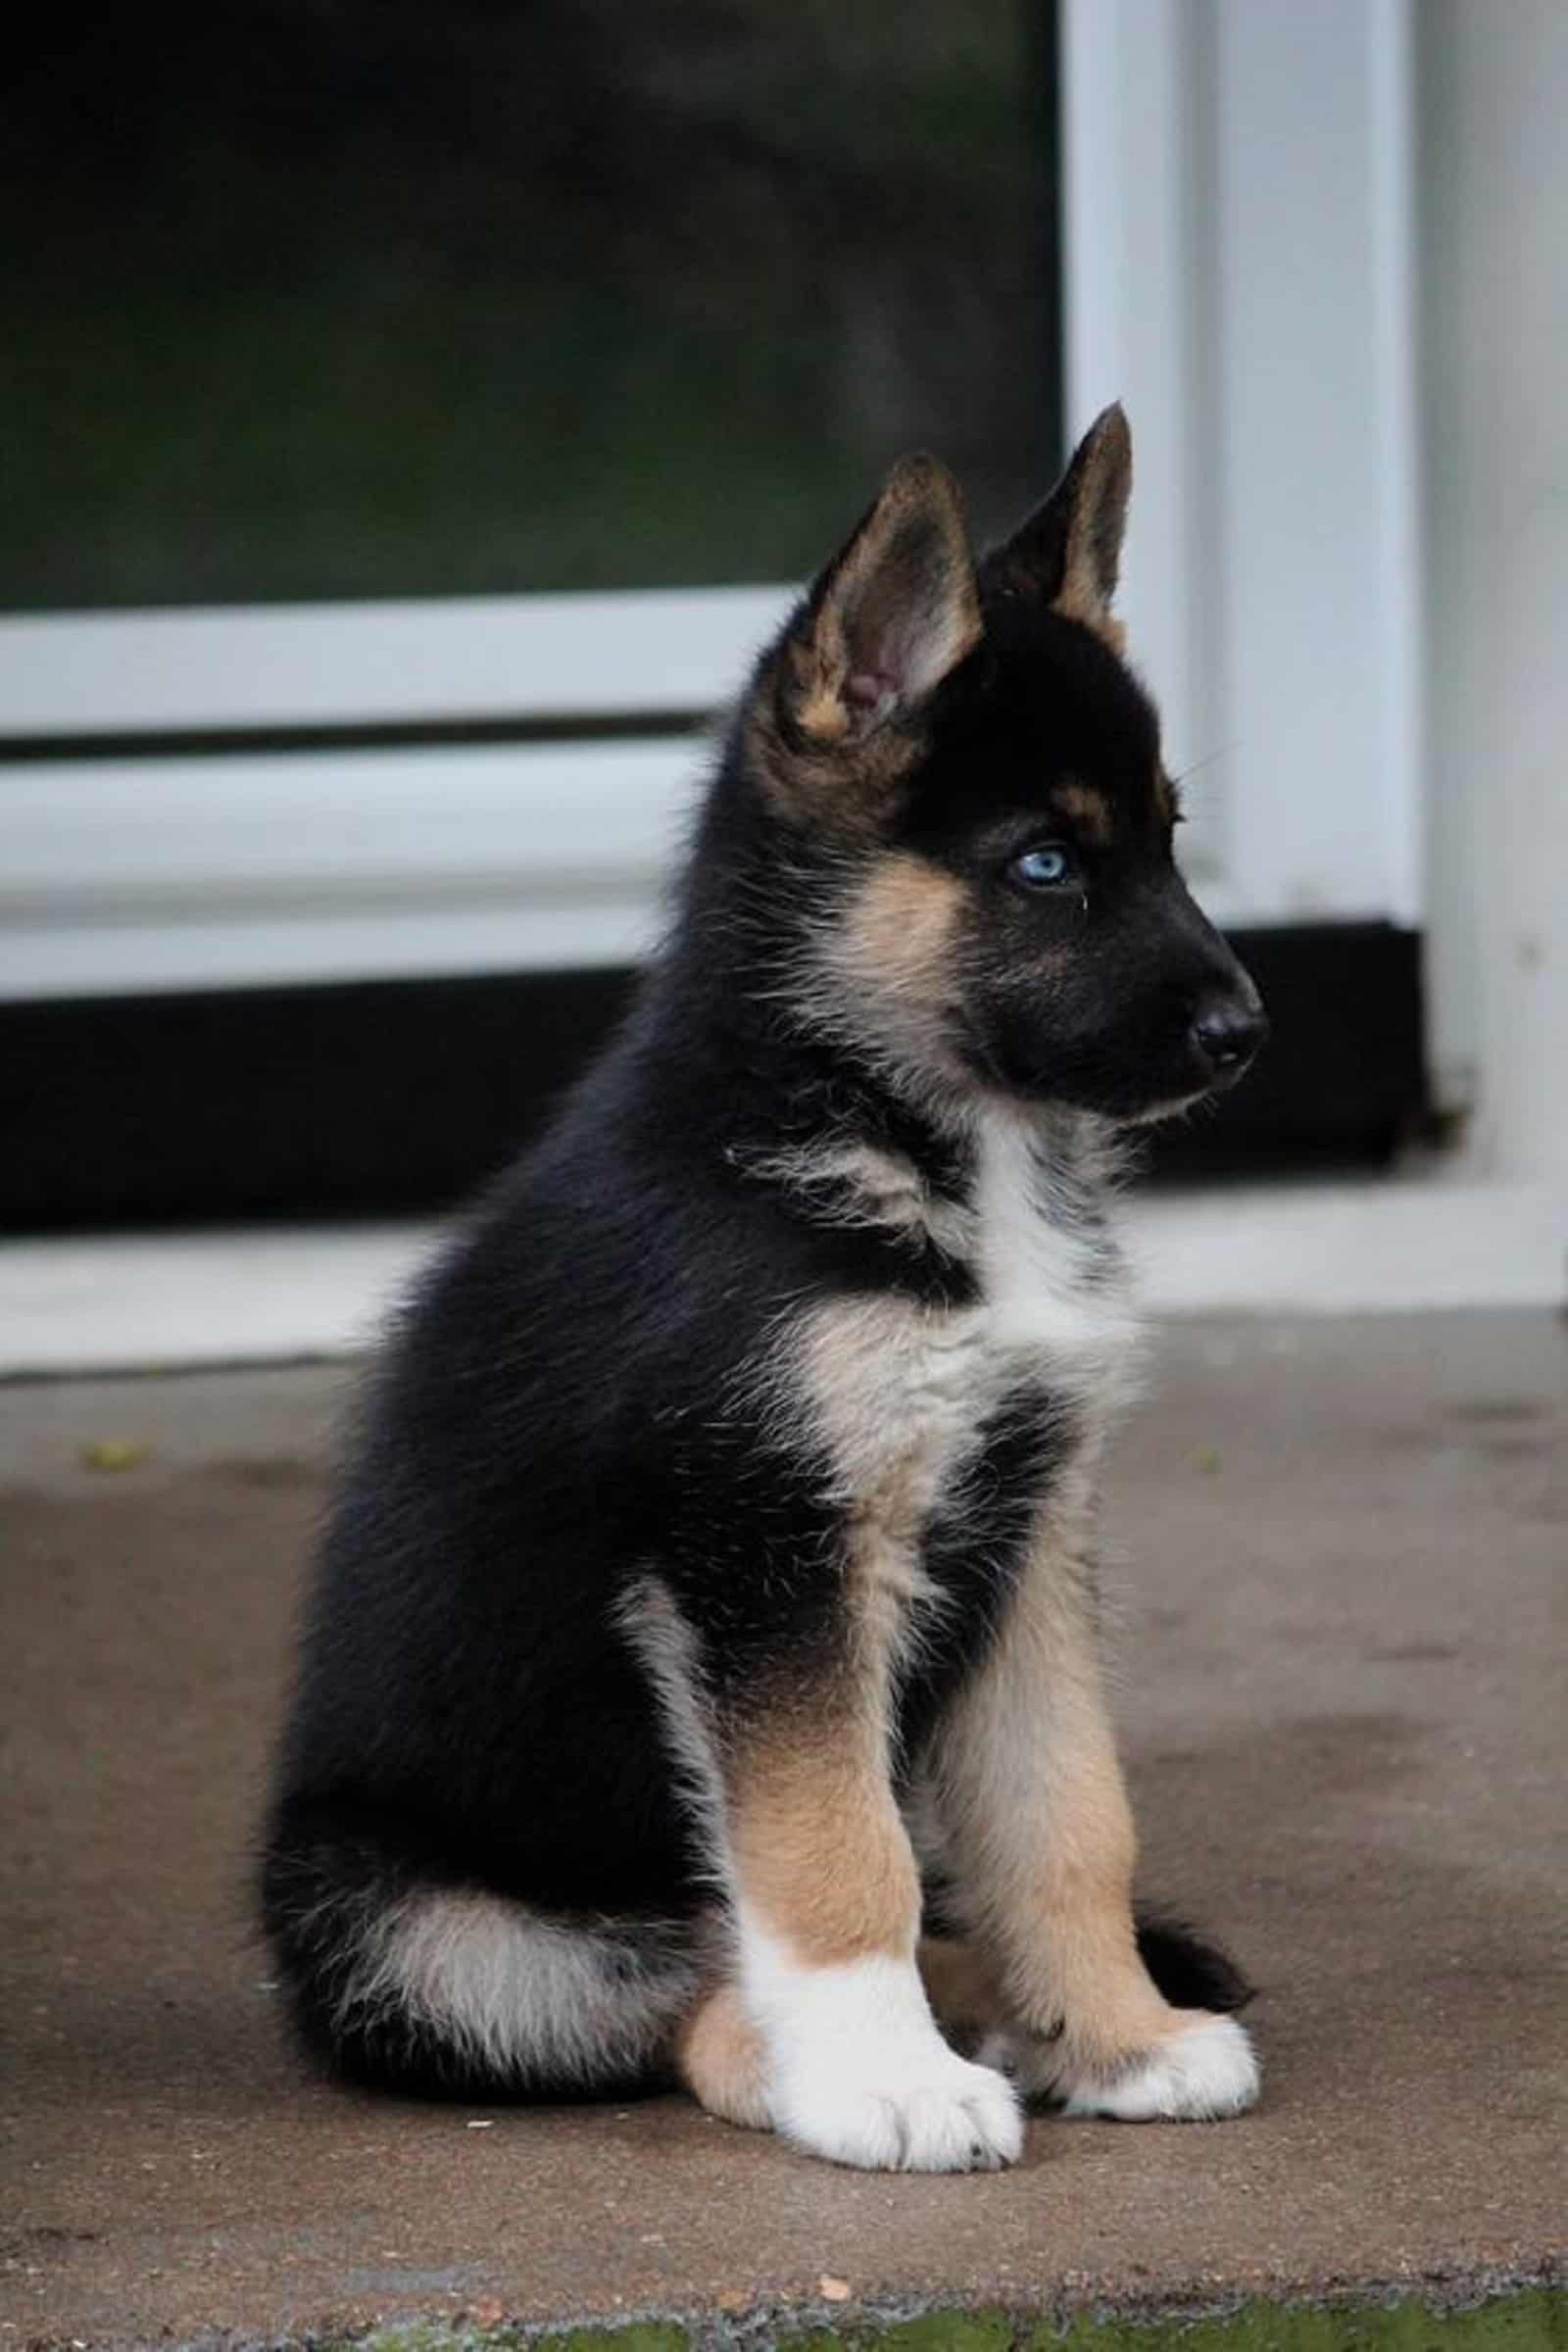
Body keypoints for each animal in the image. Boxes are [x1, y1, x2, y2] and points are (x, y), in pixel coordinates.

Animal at [261, 414, 1259, 2173]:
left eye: (1167, 837)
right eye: (1045, 863)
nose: (1246, 1032)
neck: (897, 1134)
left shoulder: (1028, 1529)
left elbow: (1069, 1818)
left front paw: (1117, 2036)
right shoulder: (760, 1548)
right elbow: (835, 1851)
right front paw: (886, 2080)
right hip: (411, 1924)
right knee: (655, 1998)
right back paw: (823, 2058)